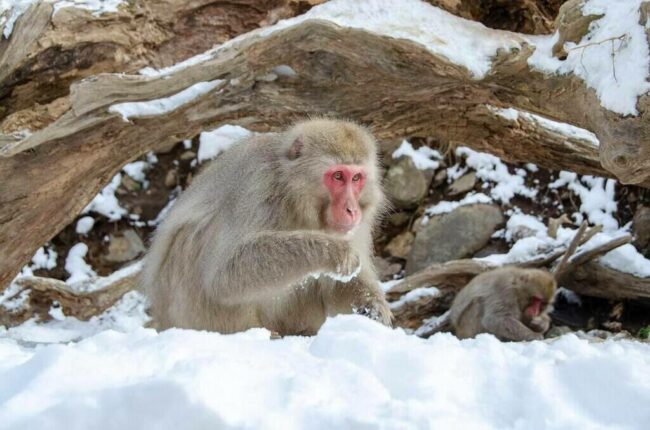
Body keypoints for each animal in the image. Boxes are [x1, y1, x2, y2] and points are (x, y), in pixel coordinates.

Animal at [141, 118, 393, 335]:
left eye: (357, 178)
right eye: (338, 176)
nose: (352, 209)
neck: (294, 197)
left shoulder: (357, 225)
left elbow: (339, 286)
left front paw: (374, 309)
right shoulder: (257, 187)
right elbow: (224, 275)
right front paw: (334, 251)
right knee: (194, 239)